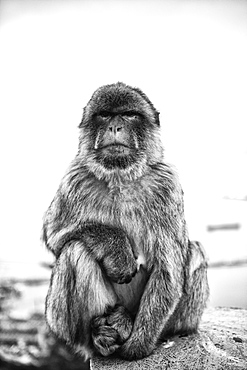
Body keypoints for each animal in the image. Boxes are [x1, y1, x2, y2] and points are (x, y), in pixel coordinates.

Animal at [42, 82, 208, 360]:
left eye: (130, 115)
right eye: (105, 115)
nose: (115, 127)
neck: (120, 177)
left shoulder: (167, 185)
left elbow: (167, 270)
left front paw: (136, 347)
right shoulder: (74, 179)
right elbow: (55, 235)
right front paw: (117, 250)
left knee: (194, 250)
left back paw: (126, 326)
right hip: (64, 326)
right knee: (75, 249)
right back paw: (103, 336)